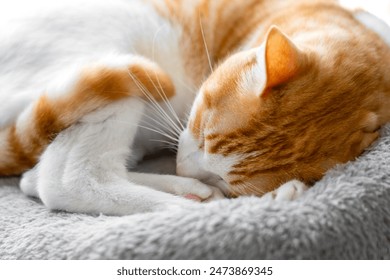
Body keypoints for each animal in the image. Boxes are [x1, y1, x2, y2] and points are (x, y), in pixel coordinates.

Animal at [0, 0, 390, 215]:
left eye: (224, 178)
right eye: (200, 127)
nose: (182, 167)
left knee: (35, 179)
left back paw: (188, 191)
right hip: (122, 60)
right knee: (66, 180)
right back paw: (185, 206)